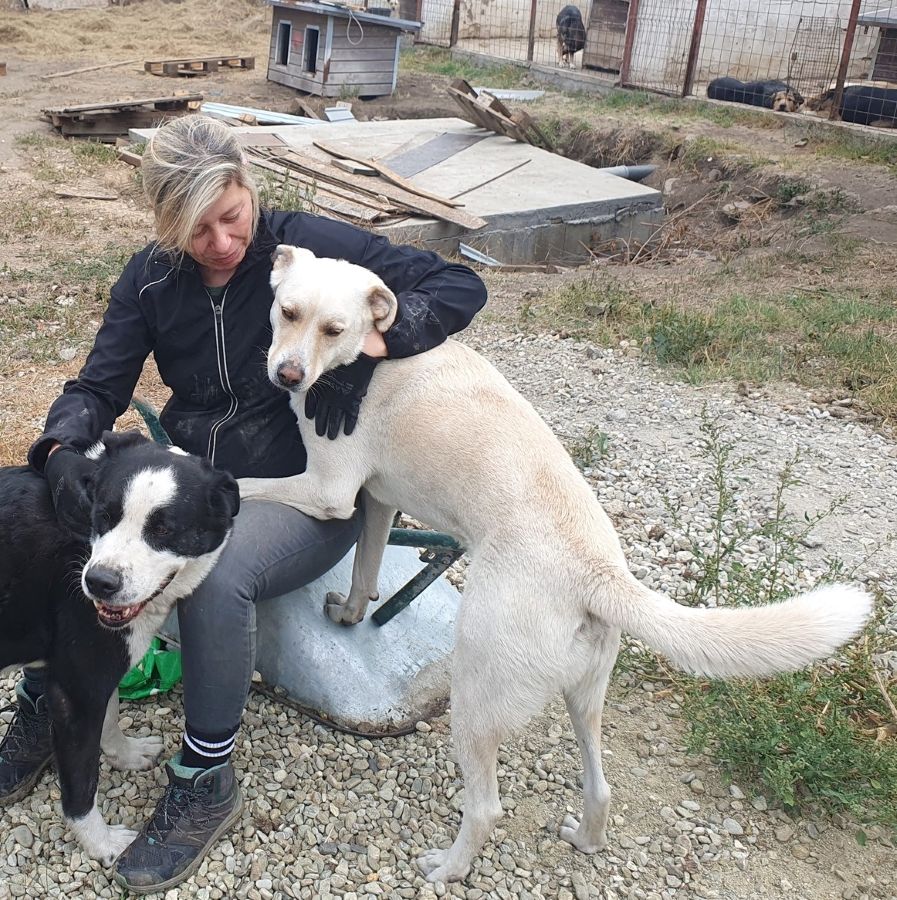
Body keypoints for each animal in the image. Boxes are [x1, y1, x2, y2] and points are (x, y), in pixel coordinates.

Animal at [0, 431, 239, 864]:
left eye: (163, 530)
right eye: (103, 516)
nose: (99, 583)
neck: (81, 548)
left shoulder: (96, 678)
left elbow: (110, 717)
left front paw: (124, 755)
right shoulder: (76, 692)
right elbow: (81, 785)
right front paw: (102, 844)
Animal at [238, 246, 873, 884]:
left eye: (333, 329)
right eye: (287, 311)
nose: (287, 375)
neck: (363, 359)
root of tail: (599, 573)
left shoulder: (329, 490)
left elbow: (246, 485)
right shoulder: (378, 502)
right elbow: (365, 571)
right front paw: (350, 613)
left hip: (476, 697)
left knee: (487, 807)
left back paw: (447, 867)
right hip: (584, 698)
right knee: (601, 786)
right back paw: (586, 839)